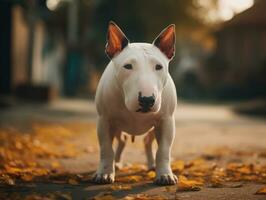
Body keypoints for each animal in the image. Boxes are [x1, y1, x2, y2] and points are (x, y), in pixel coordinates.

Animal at [92, 21, 178, 185]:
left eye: (159, 66)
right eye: (128, 66)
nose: (147, 100)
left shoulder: (166, 121)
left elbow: (163, 150)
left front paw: (165, 174)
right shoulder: (104, 120)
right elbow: (106, 148)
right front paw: (104, 173)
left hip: (153, 129)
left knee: (147, 142)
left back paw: (151, 164)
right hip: (117, 127)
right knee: (122, 141)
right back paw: (117, 163)